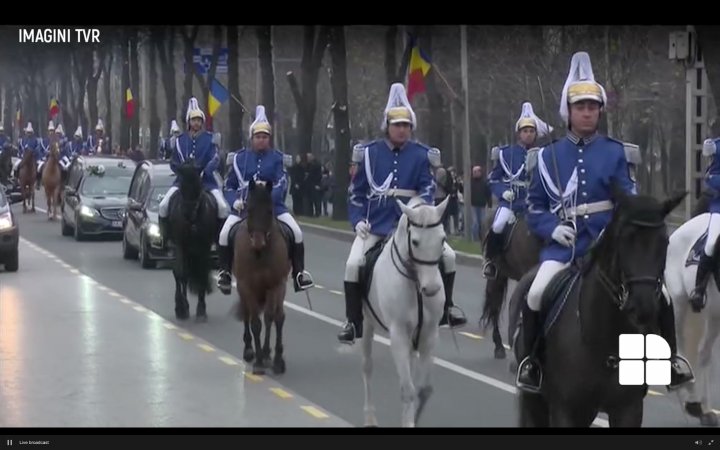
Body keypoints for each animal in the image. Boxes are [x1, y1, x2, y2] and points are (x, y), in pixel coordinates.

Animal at [167, 163, 218, 322]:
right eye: (182, 185)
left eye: (198, 185)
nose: (188, 214)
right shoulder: (180, 245)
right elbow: (181, 273)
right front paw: (182, 308)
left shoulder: (204, 246)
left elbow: (201, 273)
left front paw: (201, 309)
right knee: (180, 273)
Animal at [232, 179, 292, 376]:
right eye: (249, 210)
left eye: (270, 211)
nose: (258, 242)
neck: (259, 254)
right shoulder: (246, 286)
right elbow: (256, 322)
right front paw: (258, 361)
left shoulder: (276, 284)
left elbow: (273, 318)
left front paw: (276, 359)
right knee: (247, 314)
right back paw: (250, 350)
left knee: (272, 316)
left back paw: (267, 353)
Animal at [362, 195, 448, 428]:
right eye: (415, 242)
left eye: (443, 239)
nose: (432, 289)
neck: (415, 281)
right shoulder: (398, 334)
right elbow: (408, 390)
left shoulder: (429, 334)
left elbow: (423, 389)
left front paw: (412, 418)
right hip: (366, 324)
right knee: (368, 368)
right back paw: (370, 417)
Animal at [506, 187, 688, 428]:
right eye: (623, 240)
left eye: (665, 242)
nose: (643, 305)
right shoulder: (566, 410)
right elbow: (537, 203)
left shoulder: (628, 409)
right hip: (535, 400)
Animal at [664, 213, 720, 428]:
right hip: (679, 303)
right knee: (680, 347)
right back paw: (692, 399)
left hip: (713, 315)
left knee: (703, 353)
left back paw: (705, 409)